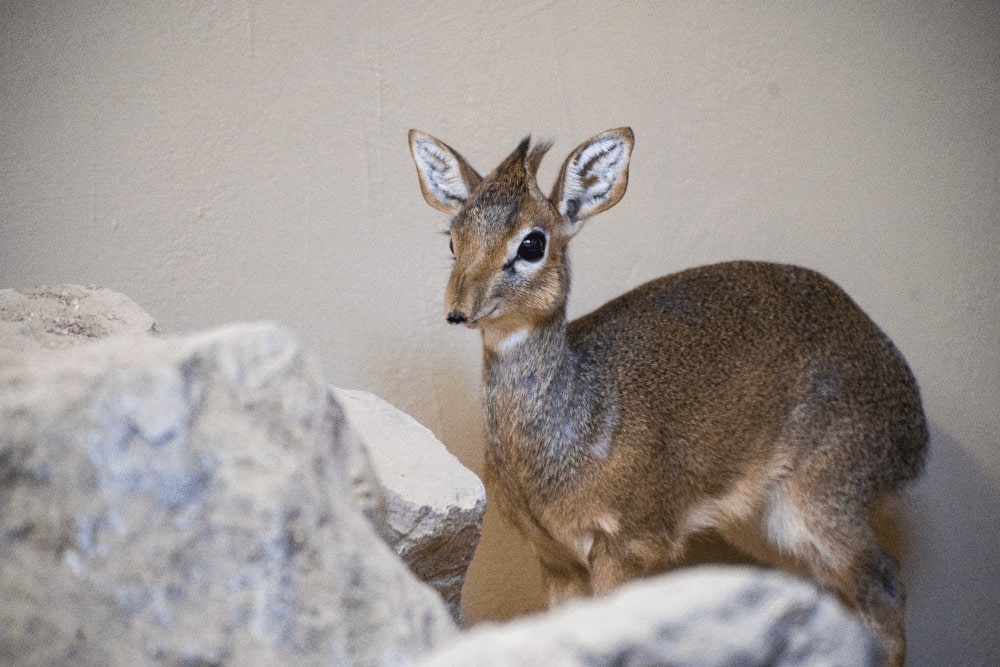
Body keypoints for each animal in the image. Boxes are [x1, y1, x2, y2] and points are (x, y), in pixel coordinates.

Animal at [408, 128, 928, 664]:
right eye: (453, 239)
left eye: (532, 242)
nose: (458, 308)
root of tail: (916, 428)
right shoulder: (554, 558)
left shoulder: (628, 544)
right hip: (764, 525)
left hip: (819, 501)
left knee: (886, 584)